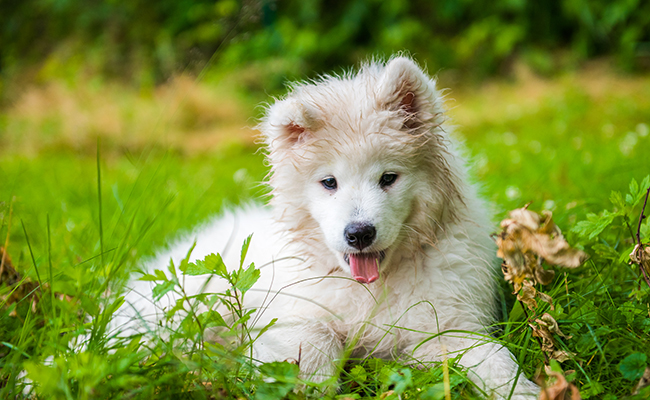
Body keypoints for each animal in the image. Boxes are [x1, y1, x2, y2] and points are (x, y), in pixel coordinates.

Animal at [119, 57, 540, 400]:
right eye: (329, 183)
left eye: (388, 178)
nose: (359, 233)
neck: (371, 288)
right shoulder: (291, 315)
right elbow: (312, 347)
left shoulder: (445, 326)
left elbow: (493, 357)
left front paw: (524, 391)